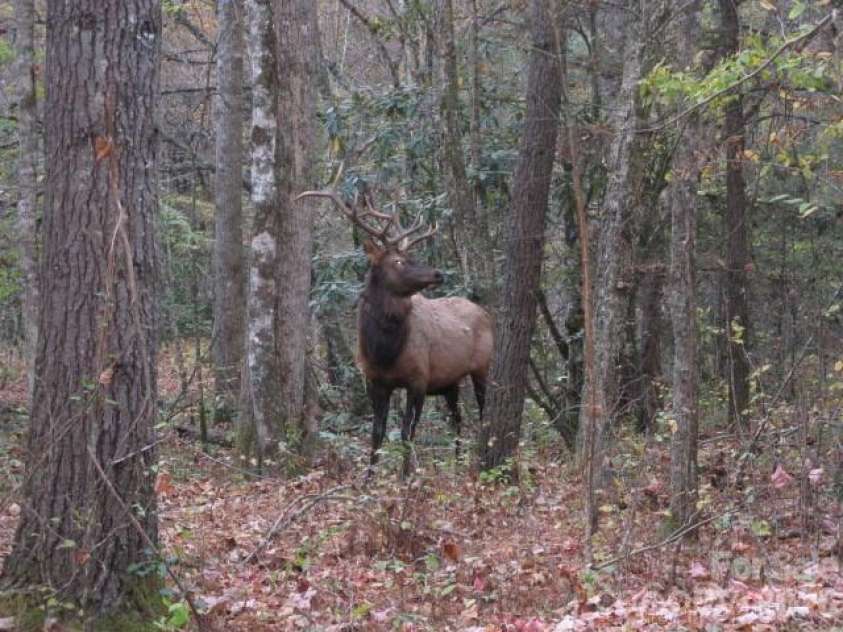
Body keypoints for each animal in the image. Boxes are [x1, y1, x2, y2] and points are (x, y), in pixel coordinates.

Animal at [297, 187, 494, 477]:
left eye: (412, 256)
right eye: (399, 261)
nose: (438, 273)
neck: (384, 351)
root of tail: (485, 313)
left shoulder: (419, 379)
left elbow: (406, 432)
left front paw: (405, 477)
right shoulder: (375, 381)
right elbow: (377, 432)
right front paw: (369, 478)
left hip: (481, 366)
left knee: (481, 413)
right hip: (449, 382)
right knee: (457, 419)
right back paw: (457, 465)